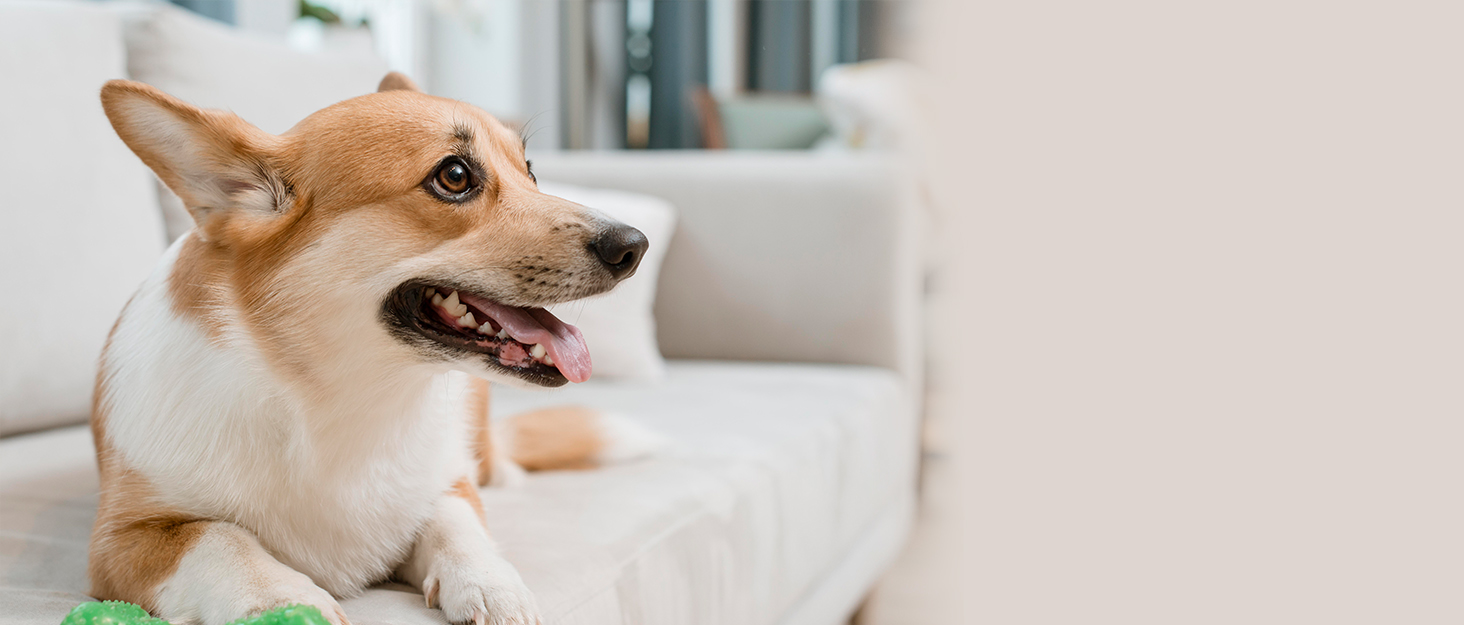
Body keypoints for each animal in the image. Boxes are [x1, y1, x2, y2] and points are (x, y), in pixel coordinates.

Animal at [88, 74, 661, 625]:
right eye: (454, 176)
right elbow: (220, 539)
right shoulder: (123, 542)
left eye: (531, 172)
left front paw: (492, 586)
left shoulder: (450, 483)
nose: (634, 246)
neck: (346, 398)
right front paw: (281, 600)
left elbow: (457, 525)